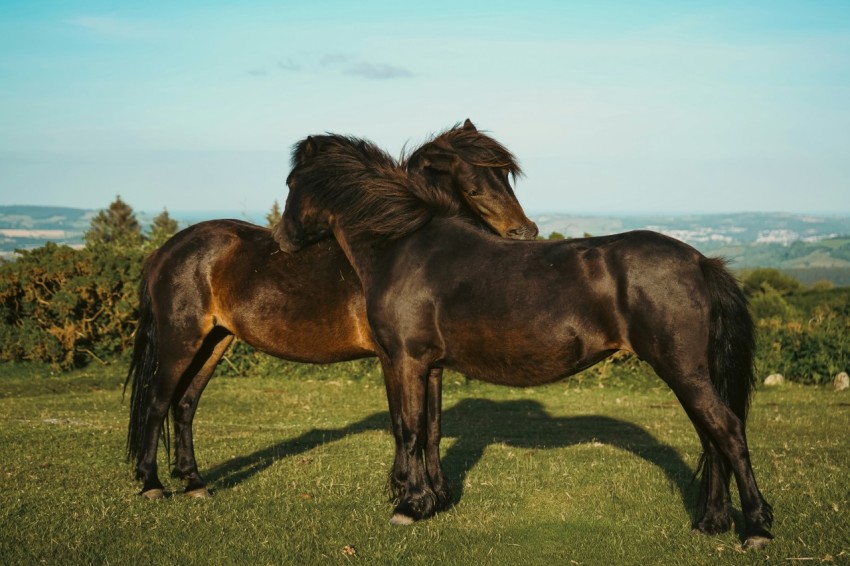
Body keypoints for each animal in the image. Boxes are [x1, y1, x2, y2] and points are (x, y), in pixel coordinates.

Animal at [124, 121, 536, 502]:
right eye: (474, 186)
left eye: (506, 176)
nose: (526, 233)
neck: (393, 247)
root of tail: (163, 252)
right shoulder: (392, 358)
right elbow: (402, 424)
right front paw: (404, 488)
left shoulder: (429, 364)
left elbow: (431, 428)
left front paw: (437, 491)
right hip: (180, 342)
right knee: (157, 403)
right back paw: (152, 484)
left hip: (215, 341)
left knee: (185, 404)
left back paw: (194, 483)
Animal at [274, 133, 772, 552]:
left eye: (292, 182)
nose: (282, 239)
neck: (405, 248)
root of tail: (700, 261)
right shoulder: (430, 366)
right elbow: (431, 429)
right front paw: (434, 500)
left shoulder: (403, 361)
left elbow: (408, 429)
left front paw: (409, 506)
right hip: (691, 373)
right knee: (711, 438)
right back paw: (710, 522)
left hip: (683, 370)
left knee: (727, 432)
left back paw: (756, 529)